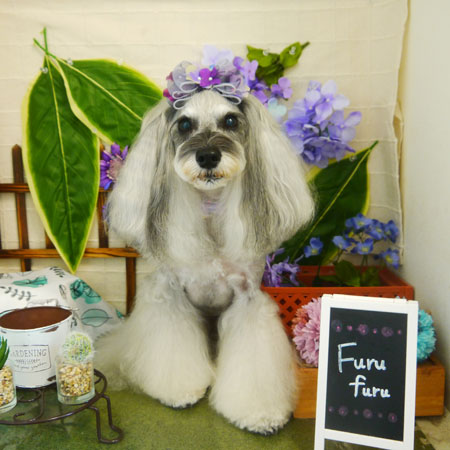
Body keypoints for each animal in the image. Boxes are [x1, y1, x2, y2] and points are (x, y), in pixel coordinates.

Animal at [96, 86, 314, 434]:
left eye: (230, 120)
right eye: (185, 124)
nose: (208, 156)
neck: (210, 216)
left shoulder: (248, 299)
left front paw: (260, 413)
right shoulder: (170, 295)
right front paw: (179, 390)